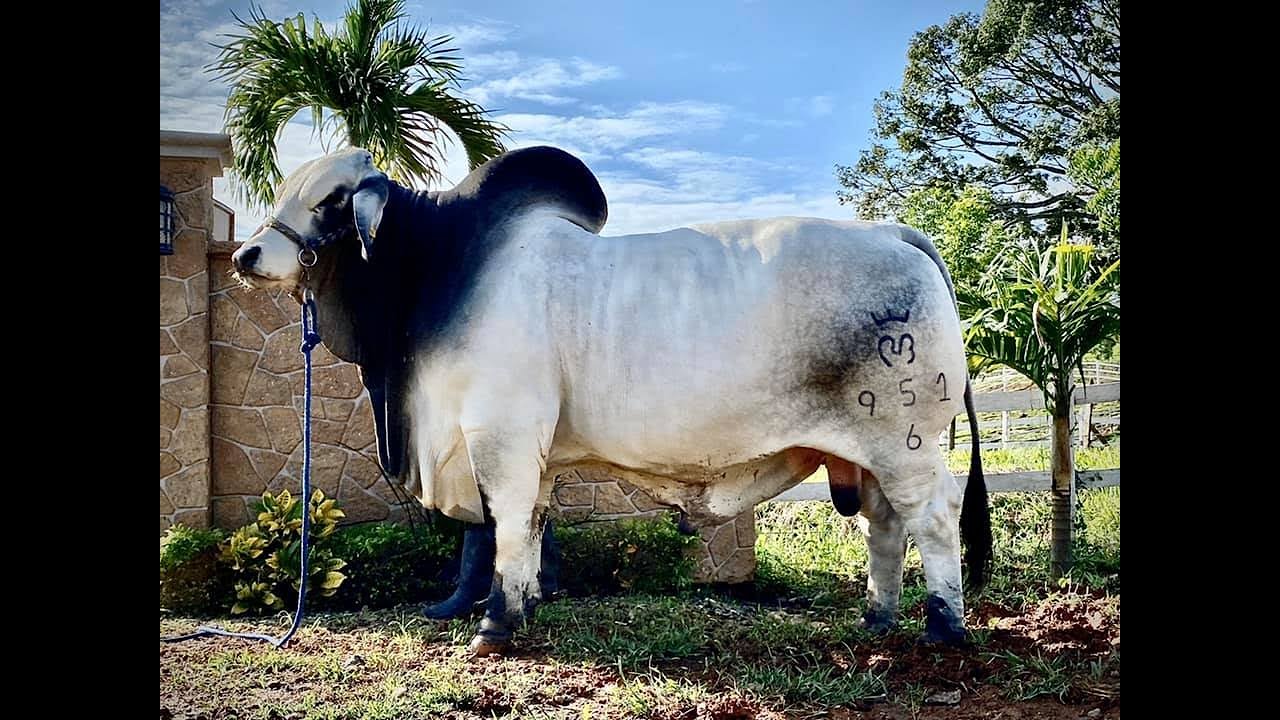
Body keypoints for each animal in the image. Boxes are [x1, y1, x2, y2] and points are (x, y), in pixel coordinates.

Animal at [230, 145, 991, 656]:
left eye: (330, 199)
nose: (245, 256)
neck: (437, 268)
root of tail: (894, 233)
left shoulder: (499, 436)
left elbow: (506, 526)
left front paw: (494, 626)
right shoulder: (534, 453)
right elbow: (533, 526)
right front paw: (526, 609)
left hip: (905, 440)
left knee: (932, 518)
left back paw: (943, 627)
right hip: (866, 453)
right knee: (885, 527)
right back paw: (878, 619)